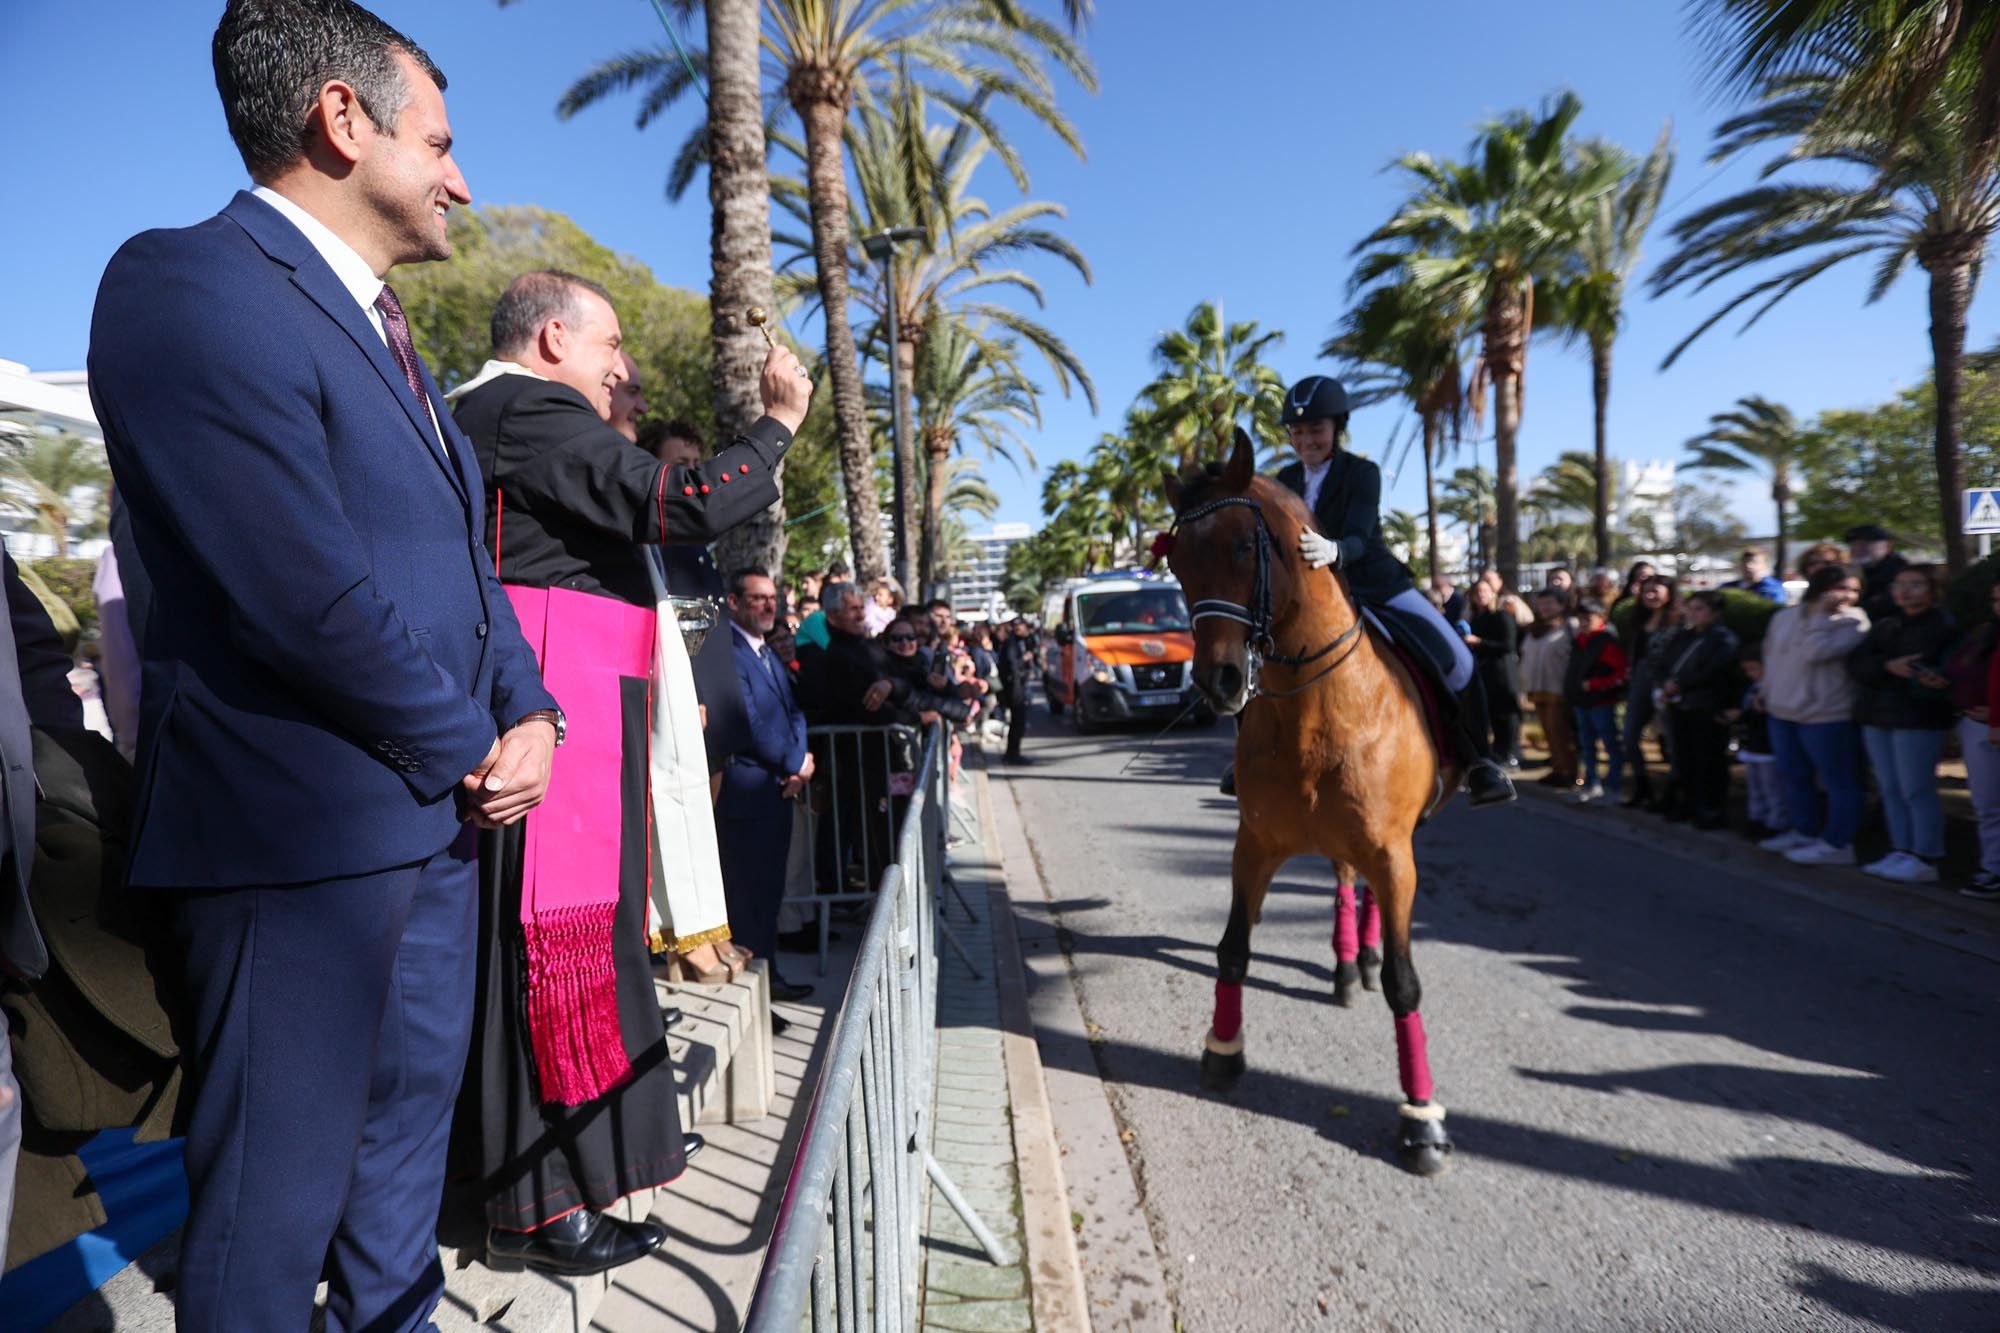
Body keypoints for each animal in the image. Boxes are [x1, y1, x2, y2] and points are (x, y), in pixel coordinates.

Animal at [1168, 426, 1464, 1176]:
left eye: (1243, 547)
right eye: (1177, 561)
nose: (1216, 681)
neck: (1316, 708)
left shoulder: (1395, 852)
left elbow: (1406, 983)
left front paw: (1421, 1118)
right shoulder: (1253, 844)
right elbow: (1232, 949)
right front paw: (1222, 1052)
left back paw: (1362, 959)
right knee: (1341, 880)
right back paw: (1347, 961)